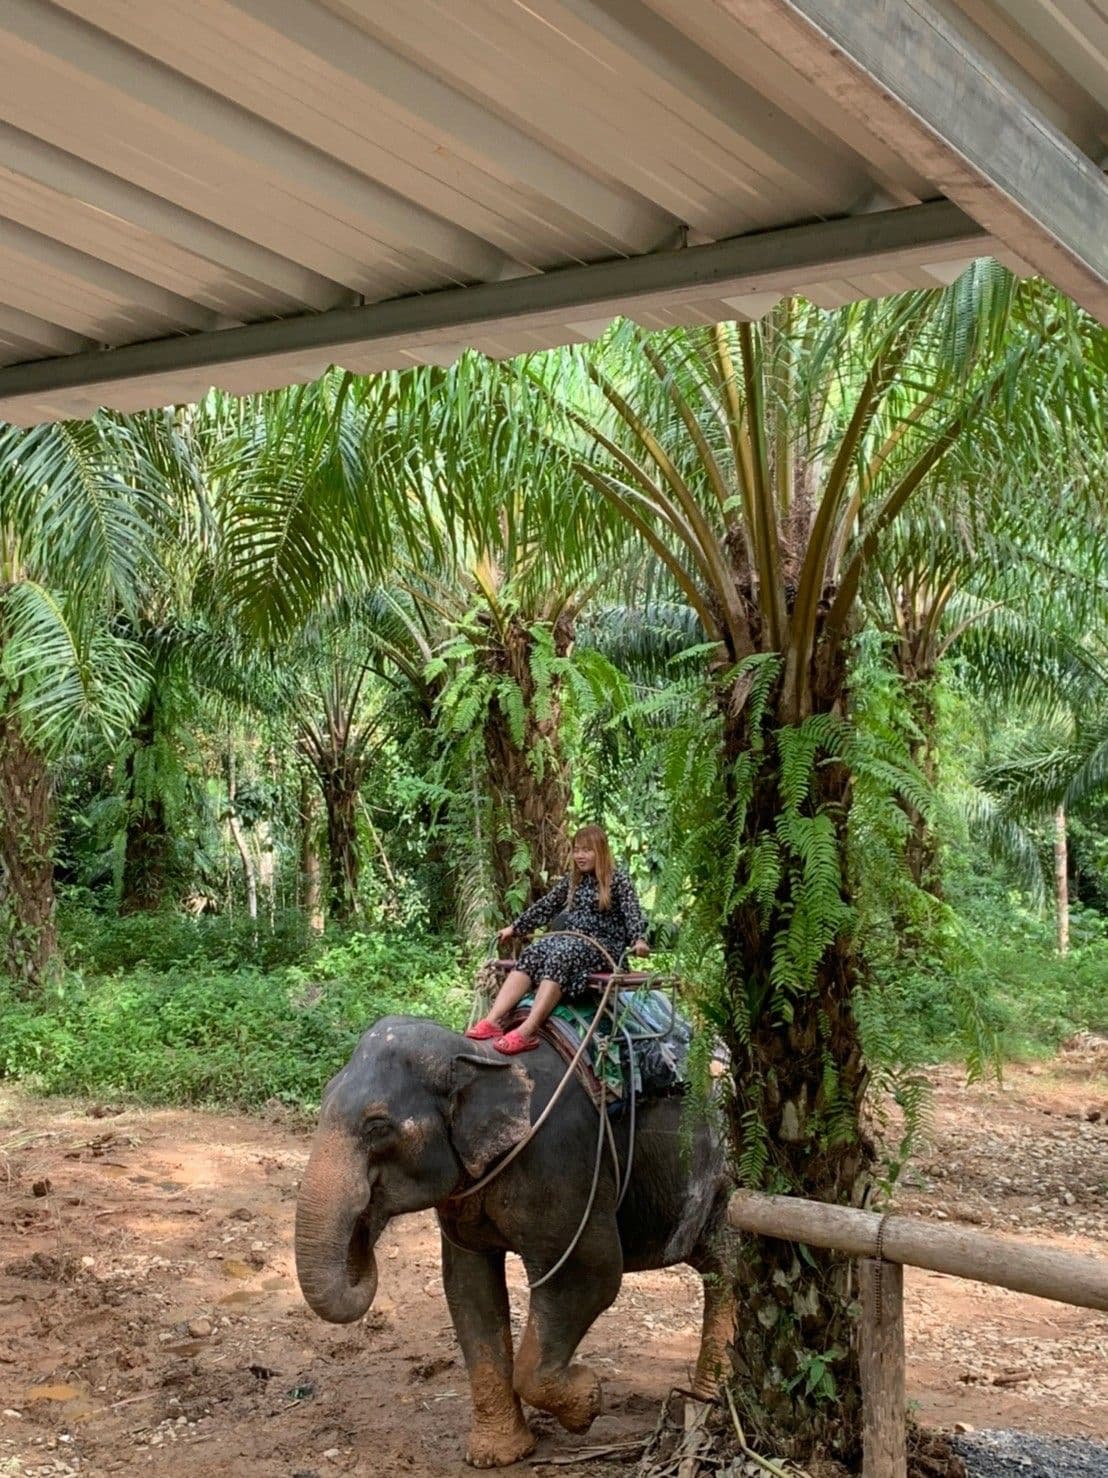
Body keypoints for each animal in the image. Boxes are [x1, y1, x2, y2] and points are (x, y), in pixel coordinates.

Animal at [295, 1014, 737, 1469]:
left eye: (378, 1126)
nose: (364, 1225)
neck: (479, 1060)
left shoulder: (561, 1165)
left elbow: (590, 1276)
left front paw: (588, 1399)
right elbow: (469, 1288)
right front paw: (497, 1455)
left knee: (729, 1266)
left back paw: (710, 1409)